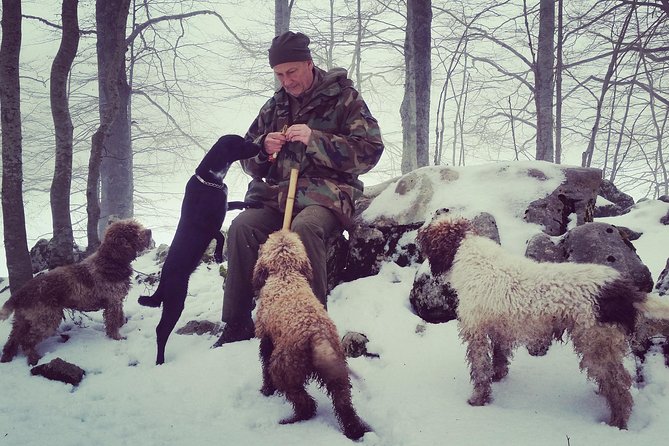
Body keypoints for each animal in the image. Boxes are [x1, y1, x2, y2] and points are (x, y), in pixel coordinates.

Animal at [0, 220, 152, 366]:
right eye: (133, 231)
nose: (149, 231)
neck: (111, 261)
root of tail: (22, 291)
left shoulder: (117, 301)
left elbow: (120, 316)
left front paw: (122, 326)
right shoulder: (112, 302)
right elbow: (113, 322)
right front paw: (117, 337)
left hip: (22, 320)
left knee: (12, 339)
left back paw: (7, 357)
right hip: (47, 319)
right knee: (26, 341)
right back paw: (33, 359)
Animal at [138, 134, 258, 364]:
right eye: (242, 142)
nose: (258, 145)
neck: (209, 178)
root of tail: (163, 281)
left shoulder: (224, 205)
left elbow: (237, 202)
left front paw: (253, 205)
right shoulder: (210, 224)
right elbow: (220, 236)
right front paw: (219, 255)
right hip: (175, 301)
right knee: (161, 330)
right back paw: (160, 362)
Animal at [252, 230, 370, 440]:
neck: (286, 275)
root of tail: (317, 336)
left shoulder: (266, 339)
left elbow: (264, 367)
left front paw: (266, 390)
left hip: (284, 370)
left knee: (305, 403)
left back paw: (292, 420)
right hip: (337, 373)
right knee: (344, 405)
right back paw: (355, 430)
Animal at [414, 214, 668, 430]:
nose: (418, 235)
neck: (469, 254)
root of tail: (620, 289)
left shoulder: (476, 330)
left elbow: (480, 371)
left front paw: (478, 400)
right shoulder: (499, 328)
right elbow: (499, 358)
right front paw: (498, 377)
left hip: (595, 343)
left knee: (620, 387)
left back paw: (616, 423)